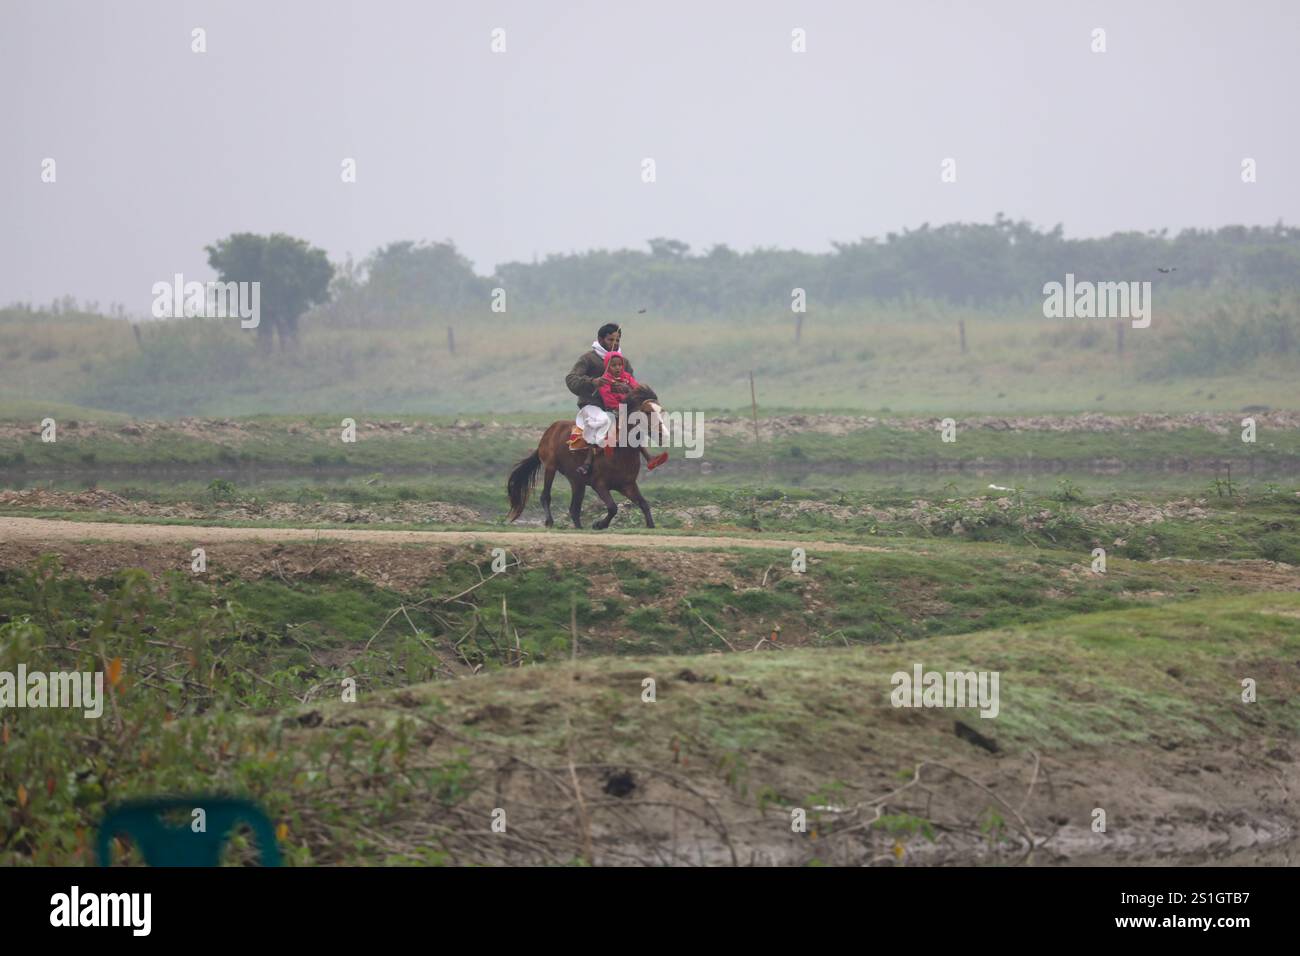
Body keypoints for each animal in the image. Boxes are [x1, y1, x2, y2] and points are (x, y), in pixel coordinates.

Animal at [506, 387, 670, 530]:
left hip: (577, 481)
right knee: (545, 496)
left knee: (574, 508)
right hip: (550, 467)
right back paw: (549, 522)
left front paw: (651, 525)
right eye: (647, 412)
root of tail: (549, 432)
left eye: (661, 411)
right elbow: (613, 507)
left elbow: (643, 503)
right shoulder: (599, 484)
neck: (621, 450)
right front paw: (599, 524)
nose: (664, 434)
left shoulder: (627, 485)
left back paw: (578, 526)